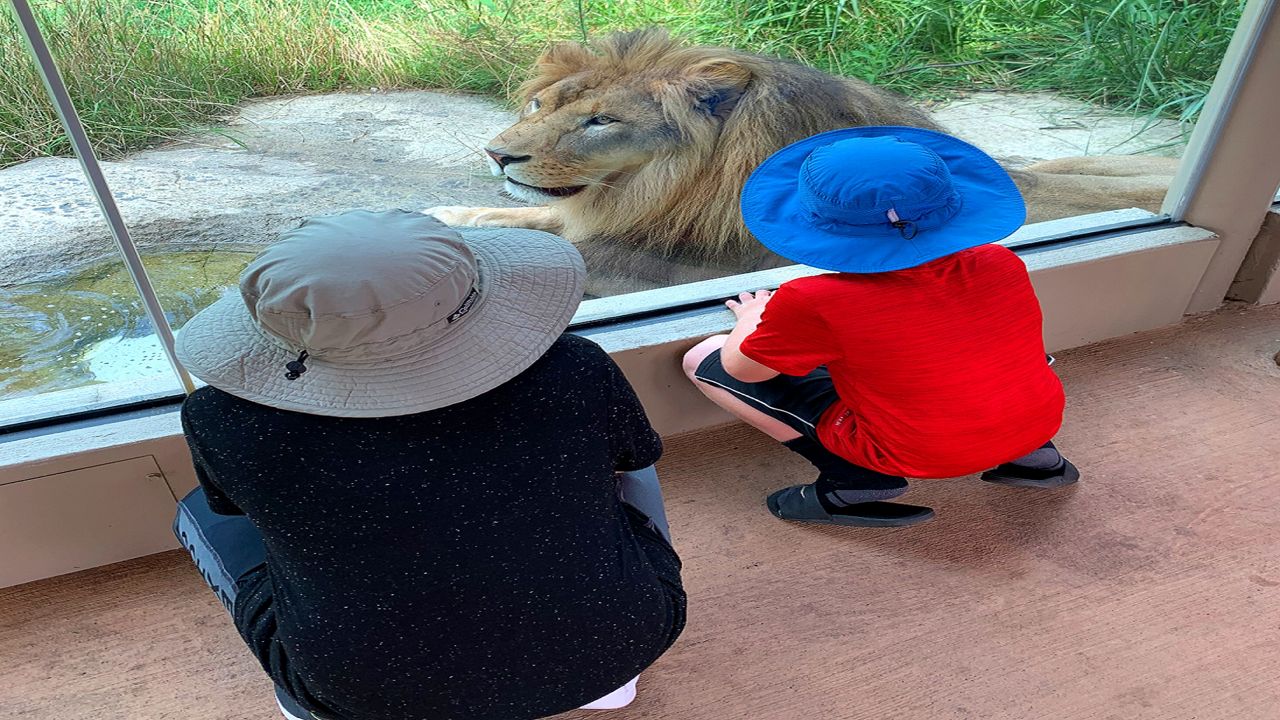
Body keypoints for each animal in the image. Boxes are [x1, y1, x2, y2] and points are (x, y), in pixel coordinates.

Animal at [430, 28, 1177, 292]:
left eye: (602, 122)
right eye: (539, 105)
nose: (498, 154)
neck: (658, 189)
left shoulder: (684, 263)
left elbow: (571, 251)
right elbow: (530, 219)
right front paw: (449, 213)